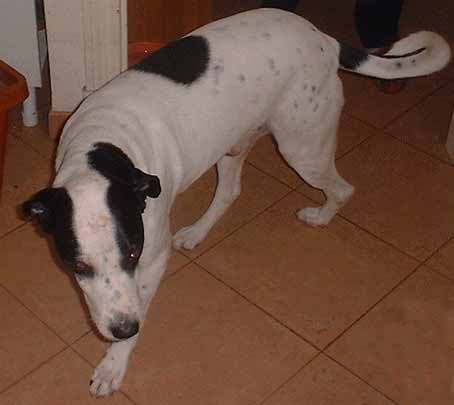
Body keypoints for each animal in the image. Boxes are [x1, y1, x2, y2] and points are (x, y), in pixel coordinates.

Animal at [22, 9, 450, 397]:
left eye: (132, 254)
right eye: (79, 266)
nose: (124, 328)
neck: (103, 146)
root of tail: (324, 39)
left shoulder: (152, 260)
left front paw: (114, 364)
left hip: (302, 150)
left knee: (343, 189)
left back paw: (320, 216)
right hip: (234, 144)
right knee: (229, 191)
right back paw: (197, 232)